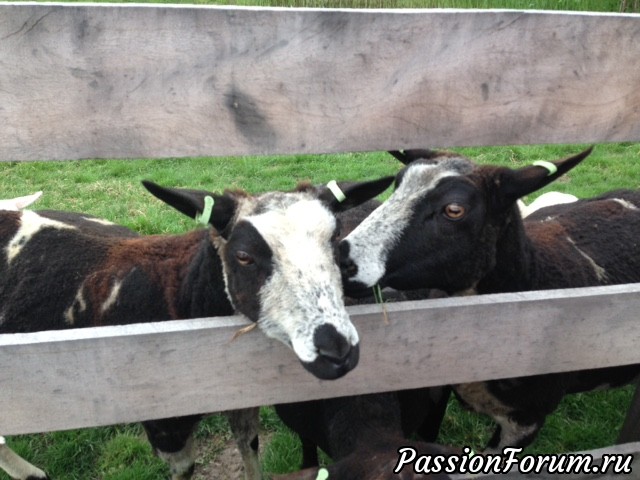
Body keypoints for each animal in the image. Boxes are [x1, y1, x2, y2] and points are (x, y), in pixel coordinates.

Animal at [0, 176, 392, 480]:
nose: (337, 351)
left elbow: (249, 447)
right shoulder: (166, 425)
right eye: (243, 256)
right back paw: (31, 472)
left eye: (336, 241)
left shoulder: (241, 398)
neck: (179, 292)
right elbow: (185, 468)